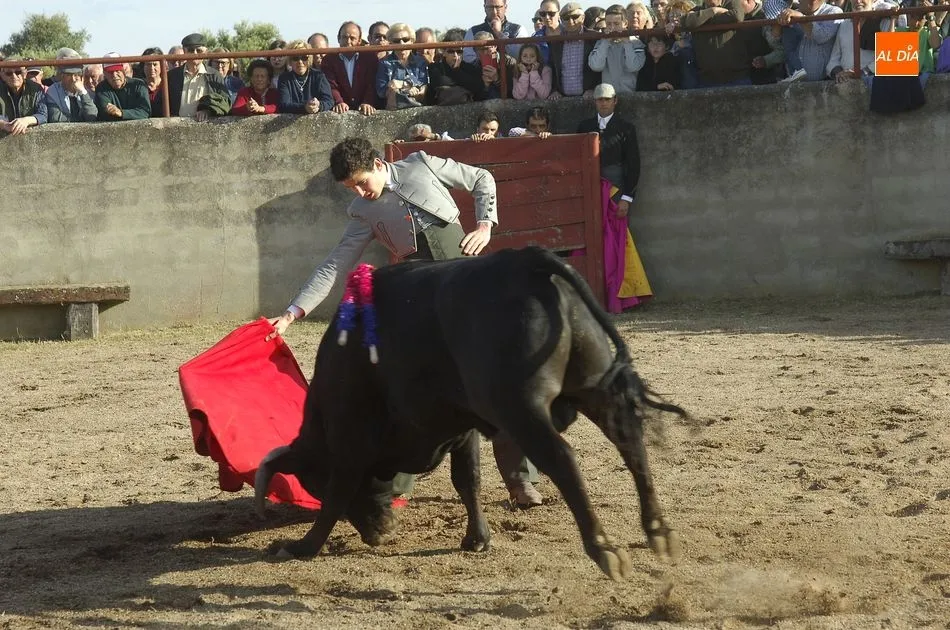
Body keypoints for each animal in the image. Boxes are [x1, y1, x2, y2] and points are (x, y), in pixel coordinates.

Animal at [255, 245, 688, 580]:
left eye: (314, 482)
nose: (379, 534)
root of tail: (525, 260)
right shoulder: (462, 426)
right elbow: (469, 480)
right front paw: (477, 539)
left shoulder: (350, 438)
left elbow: (338, 495)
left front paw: (302, 546)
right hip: (593, 385)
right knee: (631, 442)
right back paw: (658, 532)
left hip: (521, 408)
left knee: (563, 458)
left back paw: (604, 550)